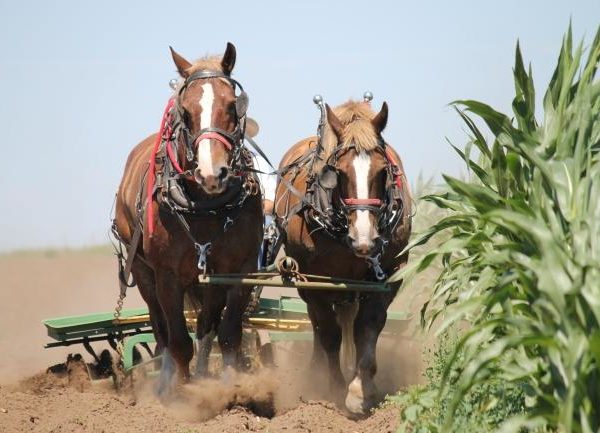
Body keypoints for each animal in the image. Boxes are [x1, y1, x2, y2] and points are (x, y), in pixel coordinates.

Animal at [113, 43, 262, 394]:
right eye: (184, 110)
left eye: (232, 105)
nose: (212, 173)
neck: (205, 205)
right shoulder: (167, 276)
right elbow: (179, 341)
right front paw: (184, 393)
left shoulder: (239, 270)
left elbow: (228, 334)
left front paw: (228, 389)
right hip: (142, 271)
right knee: (161, 330)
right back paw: (165, 382)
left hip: (209, 279)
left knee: (206, 325)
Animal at [274, 97, 410, 412]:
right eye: (339, 173)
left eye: (383, 171)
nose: (364, 239)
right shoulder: (314, 280)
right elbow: (329, 333)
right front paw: (335, 387)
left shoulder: (390, 275)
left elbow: (367, 327)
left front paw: (361, 389)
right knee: (318, 325)